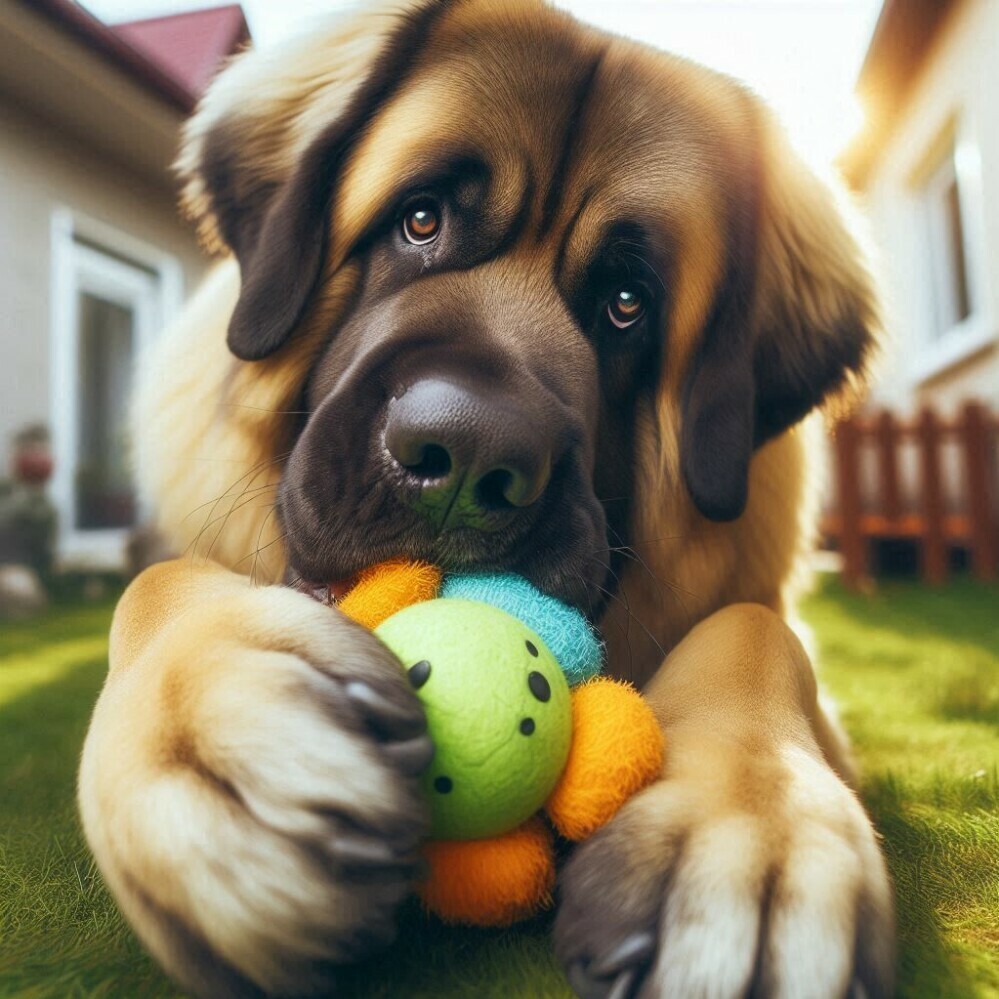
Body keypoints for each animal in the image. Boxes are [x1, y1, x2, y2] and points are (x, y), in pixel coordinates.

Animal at [76, 1, 892, 999]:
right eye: (418, 220)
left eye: (627, 303)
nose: (467, 453)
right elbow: (155, 582)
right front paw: (214, 728)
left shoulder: (763, 614)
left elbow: (755, 629)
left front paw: (754, 826)